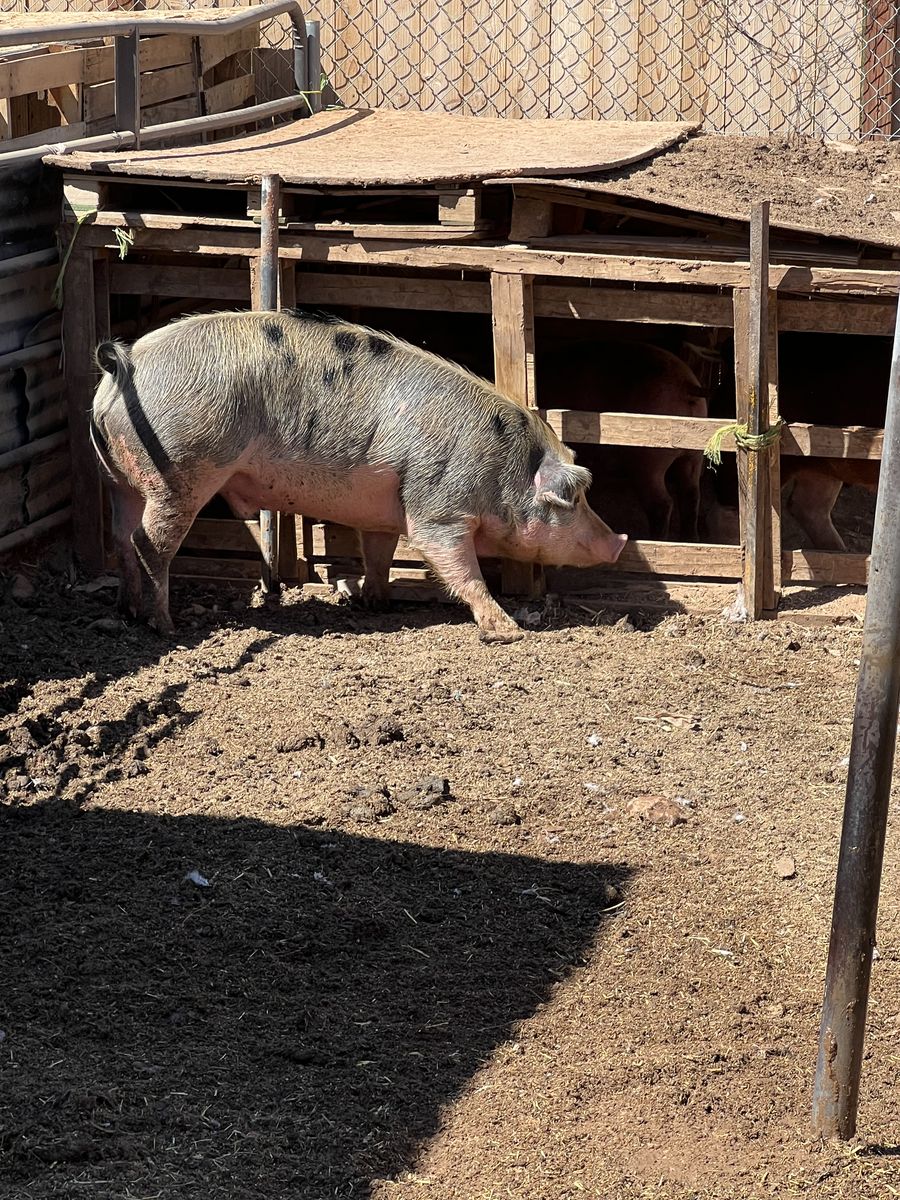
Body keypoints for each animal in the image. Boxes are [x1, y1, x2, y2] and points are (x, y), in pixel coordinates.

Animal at [90, 310, 627, 641]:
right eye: (574, 494)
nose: (620, 541)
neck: (500, 465)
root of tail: (123, 368)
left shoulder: (384, 509)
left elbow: (379, 554)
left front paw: (377, 604)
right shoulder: (438, 508)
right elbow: (457, 565)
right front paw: (507, 630)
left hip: (118, 477)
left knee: (119, 535)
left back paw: (125, 610)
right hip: (182, 470)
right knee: (149, 543)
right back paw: (165, 625)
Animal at [538, 341, 708, 541]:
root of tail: (686, 383)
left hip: (648, 459)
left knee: (662, 503)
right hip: (694, 453)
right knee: (691, 495)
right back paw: (691, 540)